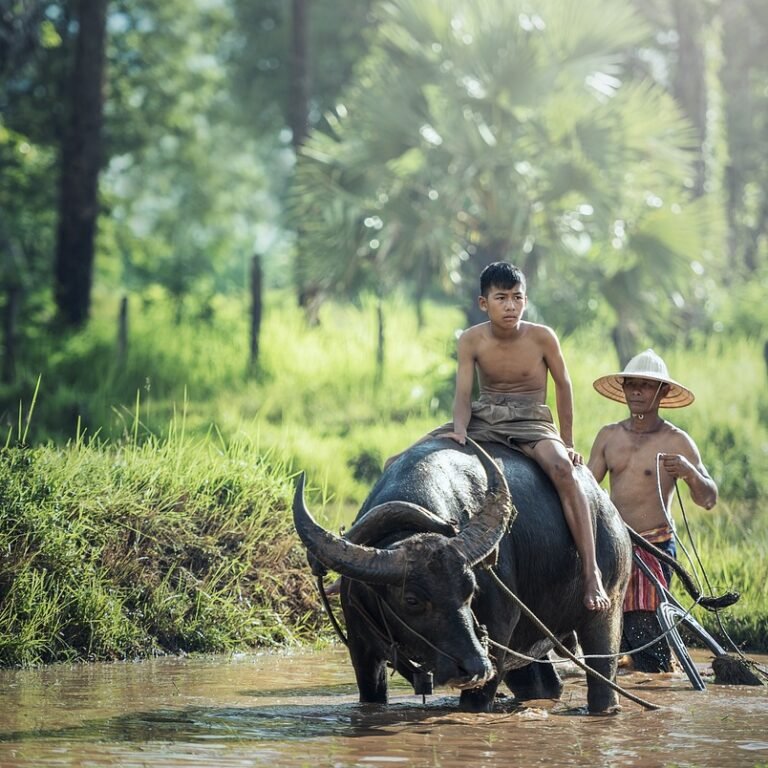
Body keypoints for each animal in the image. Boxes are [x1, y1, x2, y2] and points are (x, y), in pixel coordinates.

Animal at [294, 438, 632, 712]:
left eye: (471, 589)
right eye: (412, 600)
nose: (475, 667)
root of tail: (608, 508)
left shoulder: (497, 638)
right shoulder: (362, 650)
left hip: (608, 609)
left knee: (602, 676)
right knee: (543, 684)